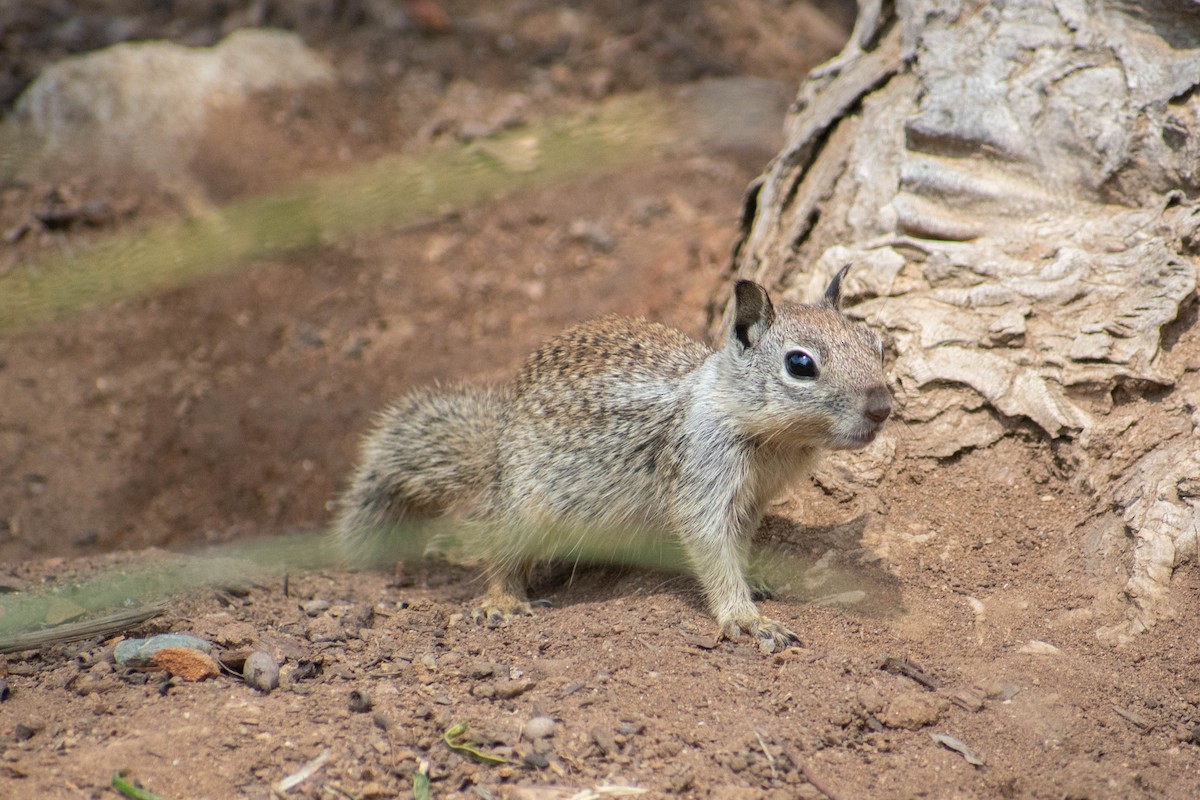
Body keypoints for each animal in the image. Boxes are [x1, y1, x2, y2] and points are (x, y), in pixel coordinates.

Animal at [333, 266, 892, 651]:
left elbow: (738, 542)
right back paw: (501, 602)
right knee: (497, 554)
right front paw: (746, 618)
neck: (772, 440)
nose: (883, 407)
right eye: (800, 364)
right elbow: (710, 548)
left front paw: (753, 577)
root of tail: (495, 448)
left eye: (878, 345)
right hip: (522, 510)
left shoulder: (753, 498)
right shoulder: (701, 476)